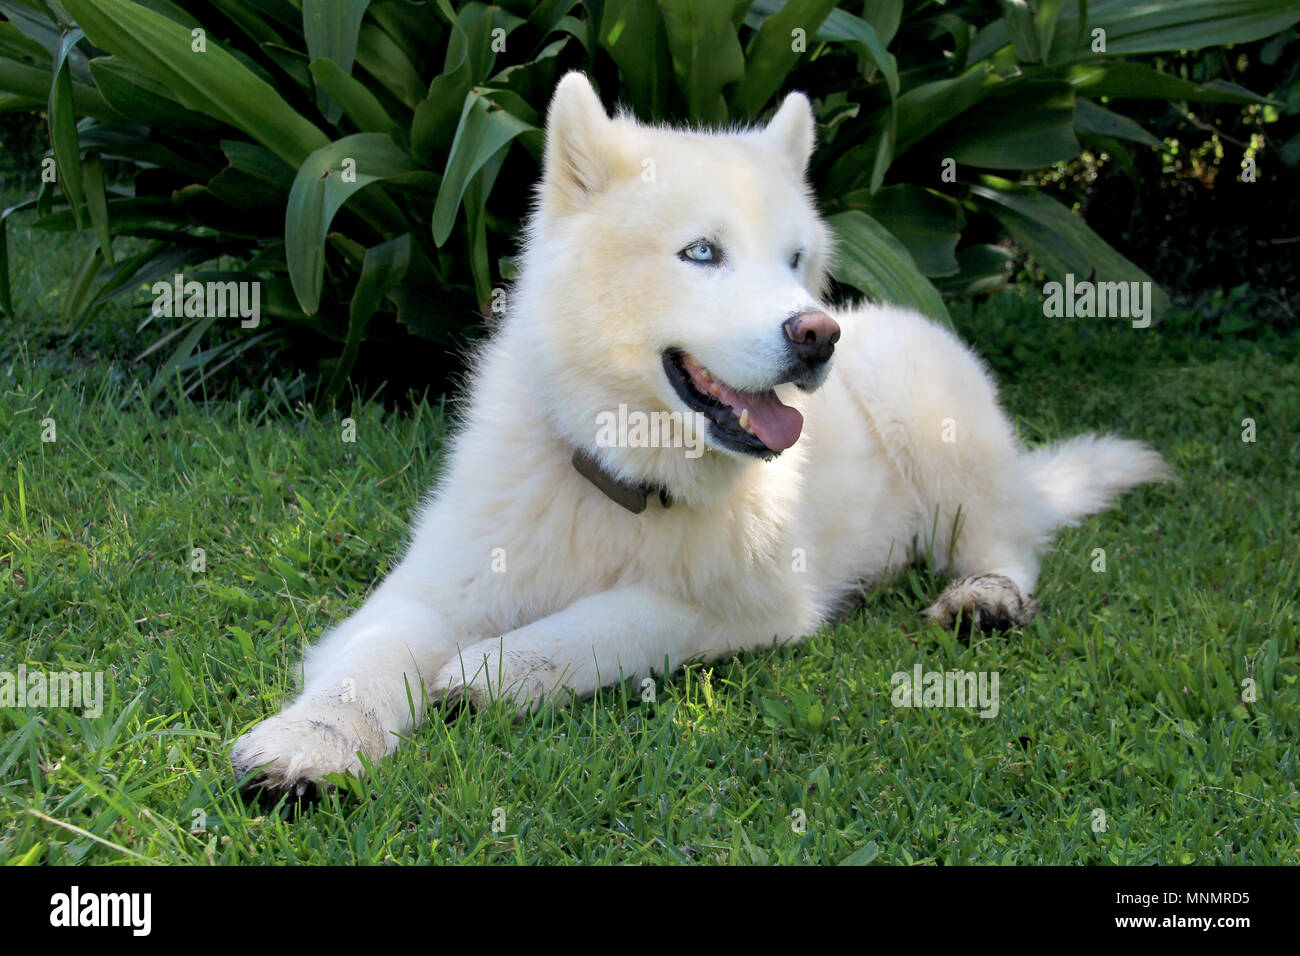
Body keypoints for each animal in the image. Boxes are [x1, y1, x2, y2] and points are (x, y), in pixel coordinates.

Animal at [231, 72, 1170, 790]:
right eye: (701, 253)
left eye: (793, 260)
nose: (817, 334)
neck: (622, 478)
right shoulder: (429, 590)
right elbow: (369, 662)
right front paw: (308, 743)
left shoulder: (754, 609)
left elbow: (627, 617)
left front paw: (505, 667)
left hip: (932, 415)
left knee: (1008, 540)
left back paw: (988, 596)